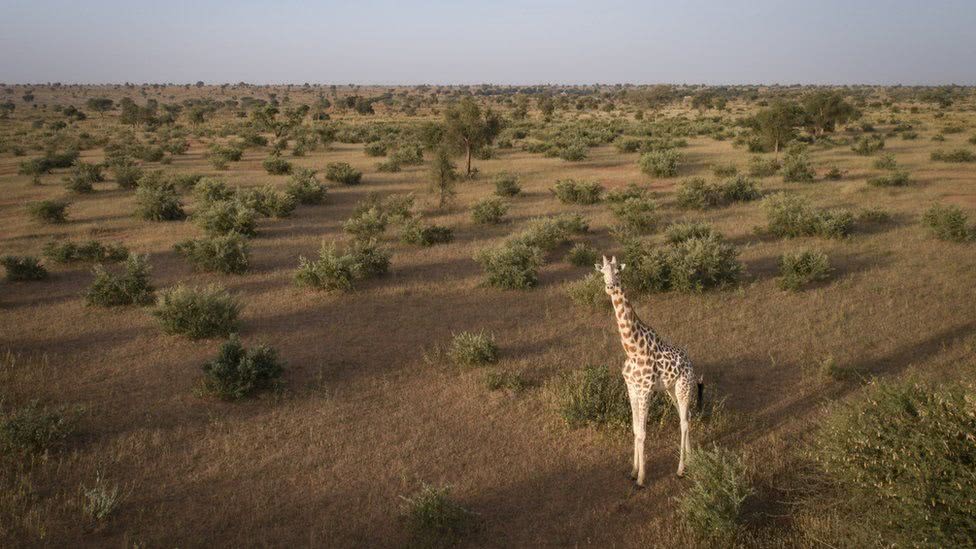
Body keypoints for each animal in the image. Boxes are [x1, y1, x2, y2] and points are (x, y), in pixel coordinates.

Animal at [596, 255, 700, 482]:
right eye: (603, 272)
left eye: (618, 271)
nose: (610, 287)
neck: (633, 348)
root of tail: (691, 364)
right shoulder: (632, 388)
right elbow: (635, 430)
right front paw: (633, 470)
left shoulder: (645, 390)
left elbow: (643, 433)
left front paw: (641, 478)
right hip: (672, 390)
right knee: (686, 417)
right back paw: (691, 459)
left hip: (683, 388)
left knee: (684, 422)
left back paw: (681, 469)